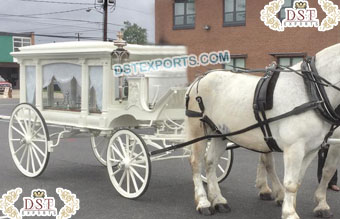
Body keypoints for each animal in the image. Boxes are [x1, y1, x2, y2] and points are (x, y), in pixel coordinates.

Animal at [186, 43, 340, 219]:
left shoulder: (312, 149)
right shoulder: (294, 148)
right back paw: (203, 202)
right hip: (198, 131)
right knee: (196, 163)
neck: (311, 91)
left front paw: (290, 204)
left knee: (210, 161)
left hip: (219, 133)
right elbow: (291, 183)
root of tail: (199, 79)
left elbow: (300, 180)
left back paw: (218, 200)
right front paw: (289, 212)